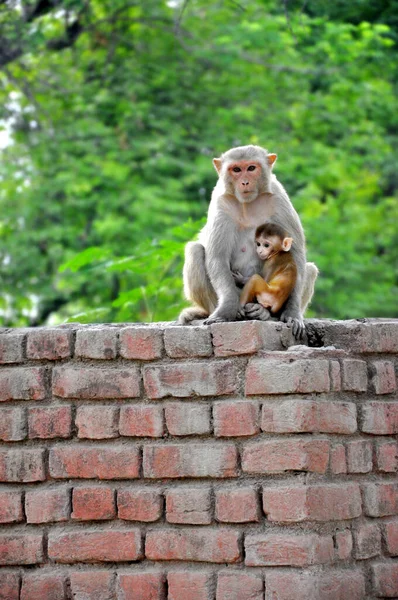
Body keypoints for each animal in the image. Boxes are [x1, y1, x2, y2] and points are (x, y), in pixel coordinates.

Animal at [179, 143, 318, 336]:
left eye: (251, 168)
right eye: (236, 169)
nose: (245, 181)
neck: (248, 204)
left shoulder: (279, 199)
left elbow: (296, 255)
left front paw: (292, 311)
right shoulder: (221, 203)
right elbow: (217, 257)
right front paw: (227, 309)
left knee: (309, 269)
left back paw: (265, 313)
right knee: (195, 251)